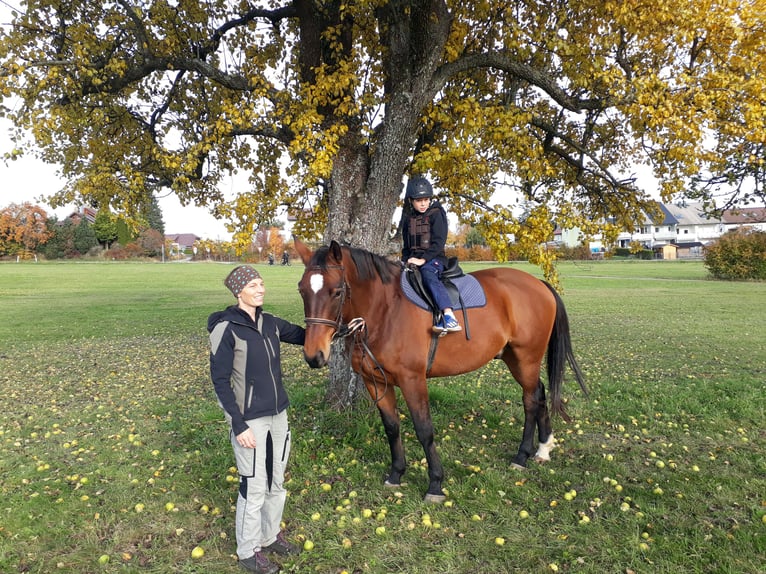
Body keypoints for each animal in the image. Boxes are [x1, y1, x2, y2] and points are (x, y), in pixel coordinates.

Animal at [294, 238, 588, 504]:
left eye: (336, 291)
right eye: (302, 291)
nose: (314, 355)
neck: (385, 311)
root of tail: (539, 284)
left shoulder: (413, 380)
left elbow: (424, 430)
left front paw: (435, 483)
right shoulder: (374, 381)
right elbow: (392, 427)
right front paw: (396, 474)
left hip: (526, 358)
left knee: (531, 399)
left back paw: (523, 454)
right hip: (514, 359)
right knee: (538, 392)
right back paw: (542, 448)